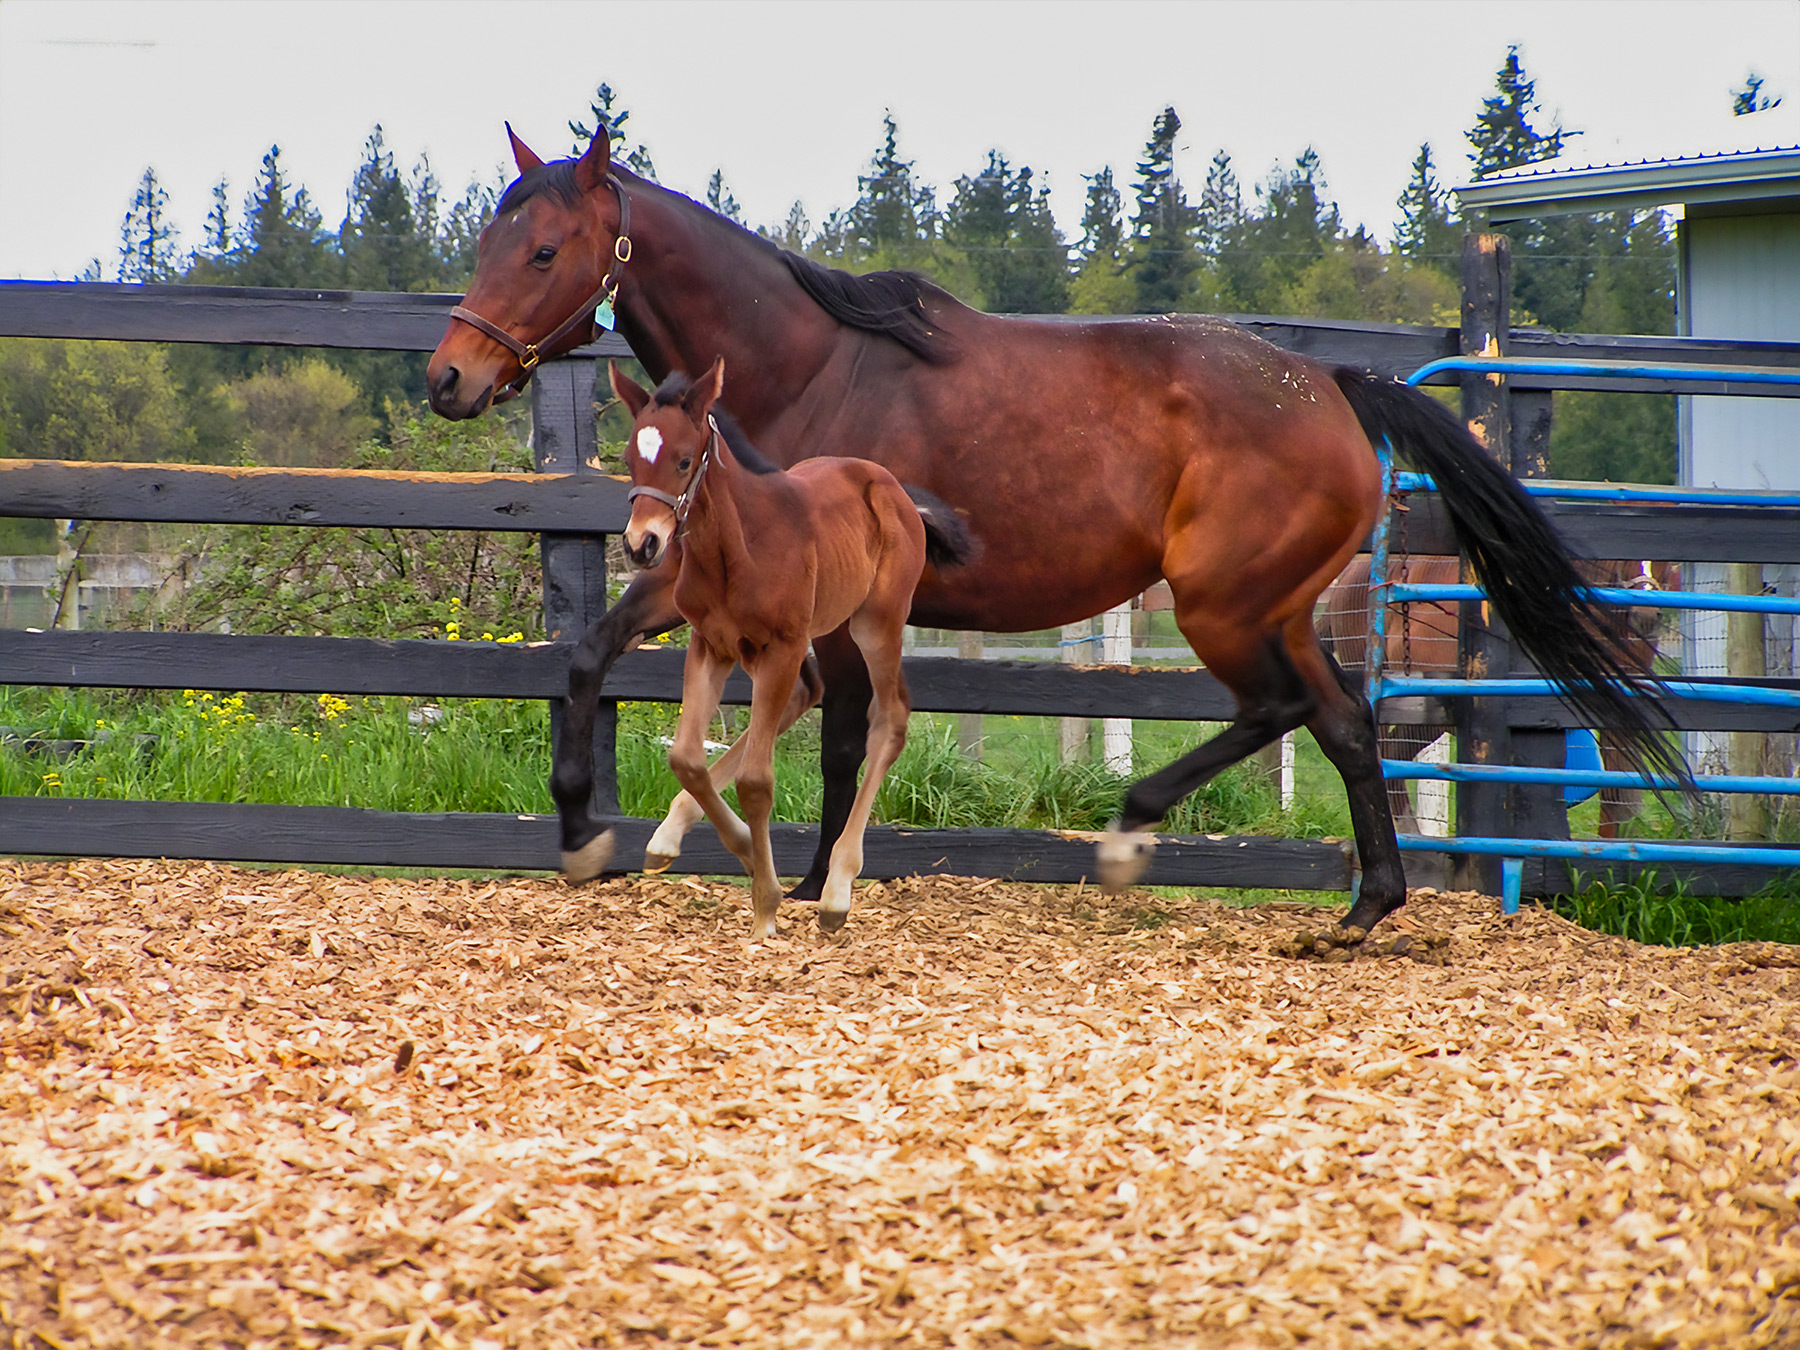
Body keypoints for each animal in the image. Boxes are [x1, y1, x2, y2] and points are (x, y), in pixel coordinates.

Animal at [608, 354, 972, 936]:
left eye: (685, 461)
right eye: (629, 459)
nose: (642, 545)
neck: (738, 547)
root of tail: (894, 489)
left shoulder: (780, 645)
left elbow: (758, 781)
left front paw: (766, 907)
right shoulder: (712, 645)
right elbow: (686, 757)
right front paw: (742, 852)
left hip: (873, 624)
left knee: (890, 718)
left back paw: (838, 890)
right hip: (805, 637)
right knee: (809, 695)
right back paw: (671, 834)